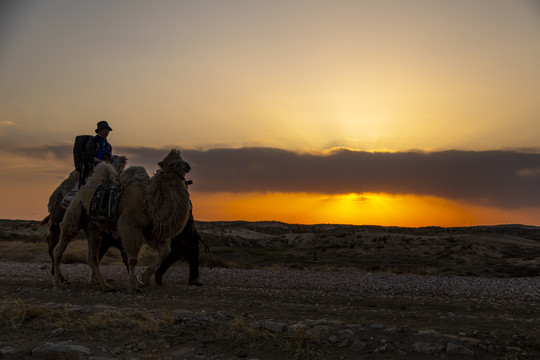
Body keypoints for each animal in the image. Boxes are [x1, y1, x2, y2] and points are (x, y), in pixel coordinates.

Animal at [52, 149, 192, 292]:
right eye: (172, 164)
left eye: (182, 159)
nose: (187, 166)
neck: (149, 202)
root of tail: (81, 190)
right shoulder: (129, 226)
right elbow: (133, 259)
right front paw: (133, 286)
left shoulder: (151, 230)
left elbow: (165, 251)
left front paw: (145, 277)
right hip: (73, 215)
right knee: (59, 249)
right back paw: (58, 284)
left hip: (92, 227)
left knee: (92, 257)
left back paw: (106, 286)